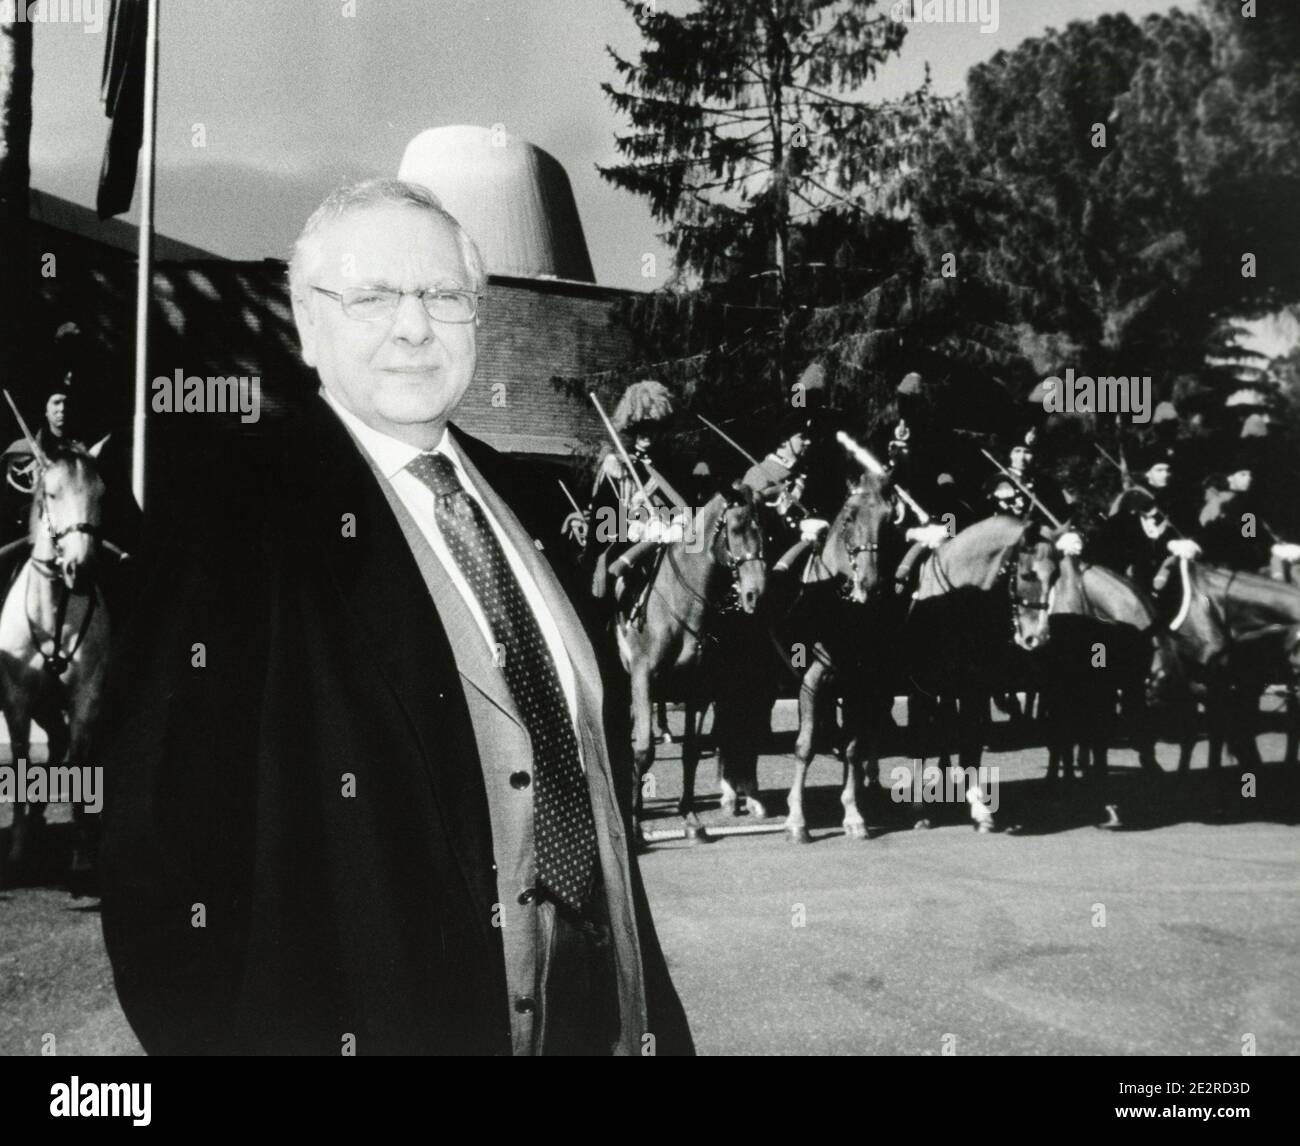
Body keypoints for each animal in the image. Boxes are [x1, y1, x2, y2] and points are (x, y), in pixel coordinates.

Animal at [616, 475, 764, 841]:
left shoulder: (697, 688)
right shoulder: (643, 678)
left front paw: (691, 818)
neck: (677, 601)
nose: (755, 593)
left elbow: (691, 752)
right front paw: (636, 822)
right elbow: (644, 751)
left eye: (764, 530)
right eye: (736, 528)